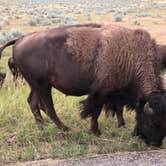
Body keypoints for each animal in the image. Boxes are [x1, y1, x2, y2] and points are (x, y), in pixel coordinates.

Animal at [0, 23, 166, 145]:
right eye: (152, 122)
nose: (155, 144)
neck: (131, 55)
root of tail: (20, 39)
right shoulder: (101, 92)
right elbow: (95, 111)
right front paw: (96, 132)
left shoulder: (115, 94)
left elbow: (115, 109)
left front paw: (120, 124)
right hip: (42, 85)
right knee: (48, 107)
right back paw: (65, 129)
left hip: (36, 86)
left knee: (33, 103)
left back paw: (42, 126)